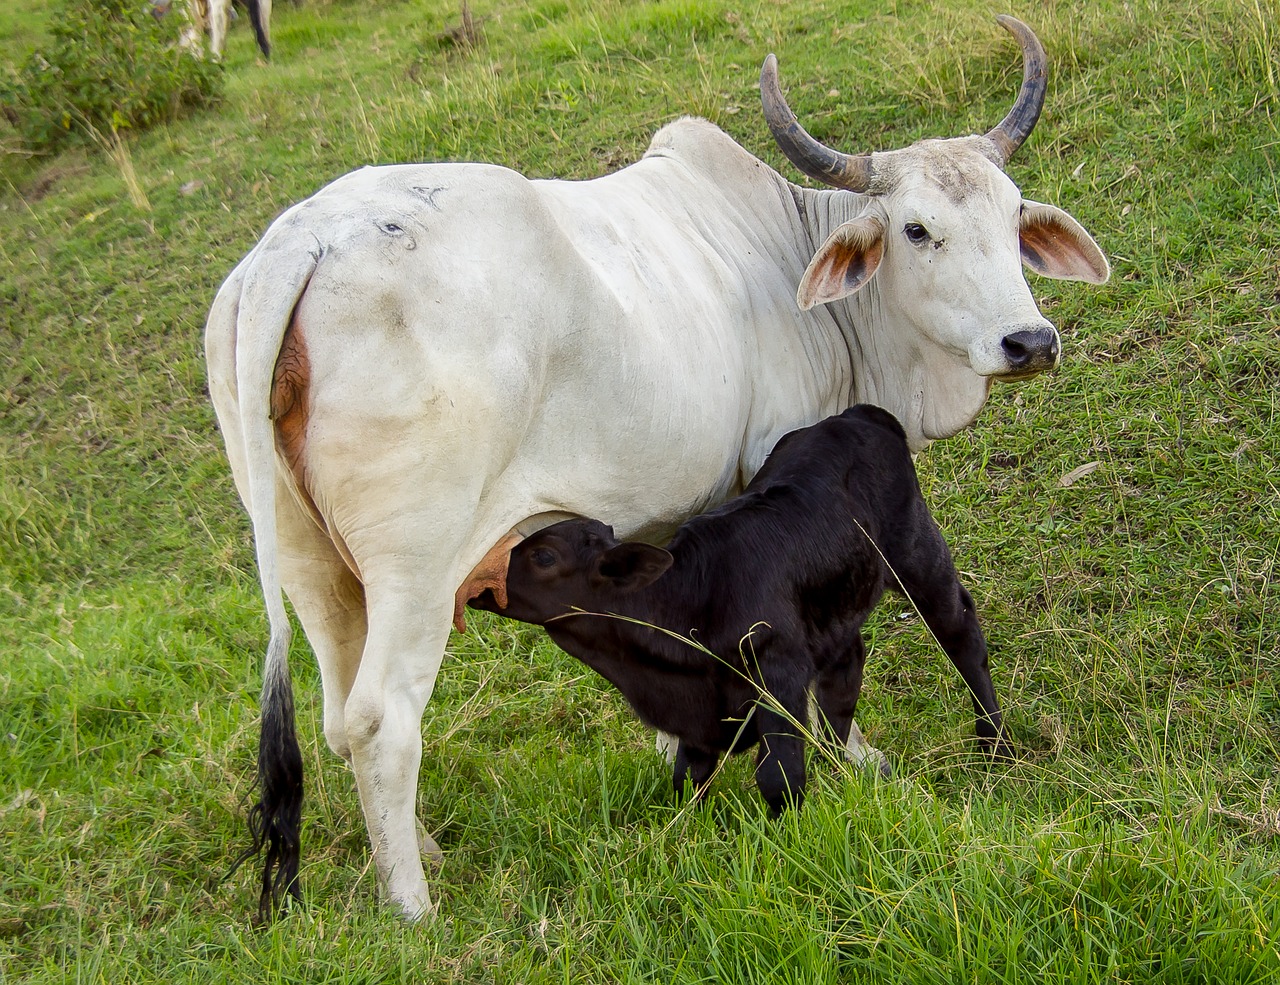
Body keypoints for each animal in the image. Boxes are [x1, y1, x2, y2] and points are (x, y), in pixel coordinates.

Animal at [207, 17, 1111, 921]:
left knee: (335, 715)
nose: (1029, 341)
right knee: (380, 722)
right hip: (417, 568)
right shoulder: (776, 468)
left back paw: (420, 850)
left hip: (312, 563)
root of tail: (306, 239)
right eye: (918, 230)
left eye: (1014, 216)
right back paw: (415, 906)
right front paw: (853, 755)